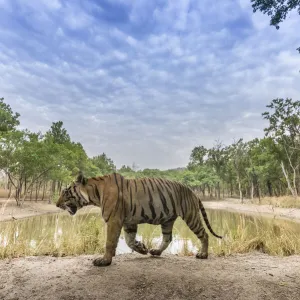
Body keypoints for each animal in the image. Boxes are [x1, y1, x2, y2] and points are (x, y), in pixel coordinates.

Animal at [55, 172, 223, 266]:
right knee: (167, 238)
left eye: (65, 192)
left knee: (204, 234)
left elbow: (110, 242)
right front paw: (142, 249)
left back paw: (203, 255)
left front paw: (104, 261)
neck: (94, 193)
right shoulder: (129, 222)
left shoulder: (114, 220)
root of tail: (193, 192)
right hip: (167, 220)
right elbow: (129, 241)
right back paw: (155, 251)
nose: (56, 204)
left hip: (190, 216)